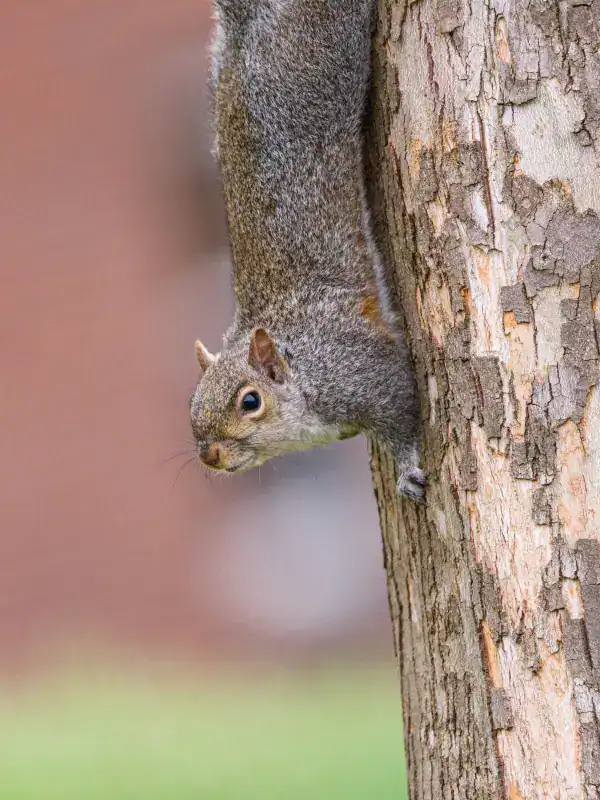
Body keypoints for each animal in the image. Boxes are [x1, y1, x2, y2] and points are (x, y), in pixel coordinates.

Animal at [189, 0, 427, 503]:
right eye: (192, 403)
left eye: (250, 401)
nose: (209, 456)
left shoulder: (361, 369)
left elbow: (402, 411)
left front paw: (408, 469)